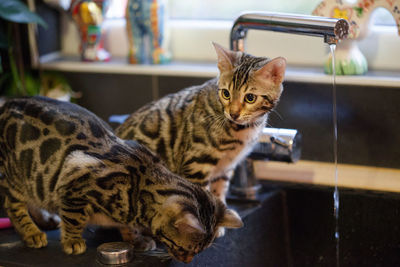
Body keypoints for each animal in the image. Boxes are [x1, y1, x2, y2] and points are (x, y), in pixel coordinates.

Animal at [115, 43, 288, 209]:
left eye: (250, 98)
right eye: (226, 94)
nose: (233, 114)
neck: (242, 130)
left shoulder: (225, 168)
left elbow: (218, 194)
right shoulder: (197, 165)